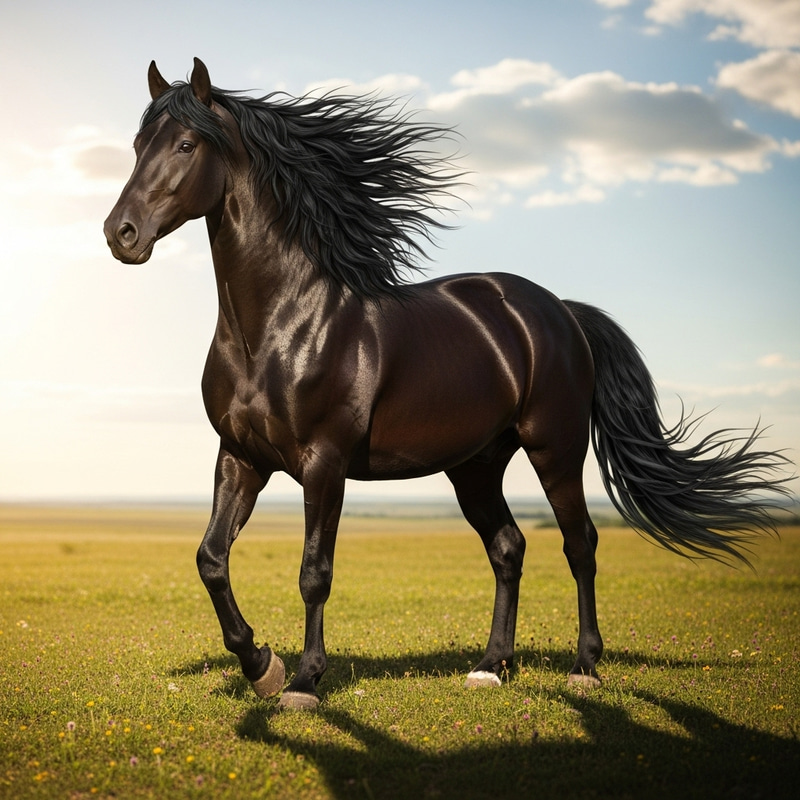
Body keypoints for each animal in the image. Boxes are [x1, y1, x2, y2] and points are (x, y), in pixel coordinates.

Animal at [104, 58, 791, 710]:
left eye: (187, 144)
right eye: (137, 144)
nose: (121, 234)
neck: (280, 326)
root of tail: (561, 312)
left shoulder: (324, 463)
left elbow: (314, 572)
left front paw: (303, 680)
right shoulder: (241, 456)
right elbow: (211, 559)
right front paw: (260, 666)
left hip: (556, 449)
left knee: (581, 543)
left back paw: (584, 667)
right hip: (475, 466)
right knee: (509, 546)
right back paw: (491, 666)